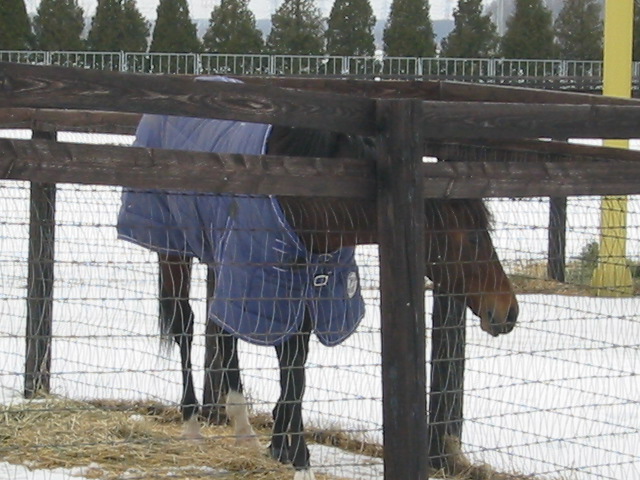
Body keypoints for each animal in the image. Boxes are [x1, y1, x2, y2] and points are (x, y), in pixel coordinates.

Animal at [121, 122, 520, 478]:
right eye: (473, 238)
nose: (508, 311)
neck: (303, 199)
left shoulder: (308, 289)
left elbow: (295, 368)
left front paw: (284, 447)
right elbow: (289, 367)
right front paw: (298, 458)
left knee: (221, 331)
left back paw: (243, 429)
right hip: (173, 250)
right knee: (185, 325)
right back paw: (192, 426)